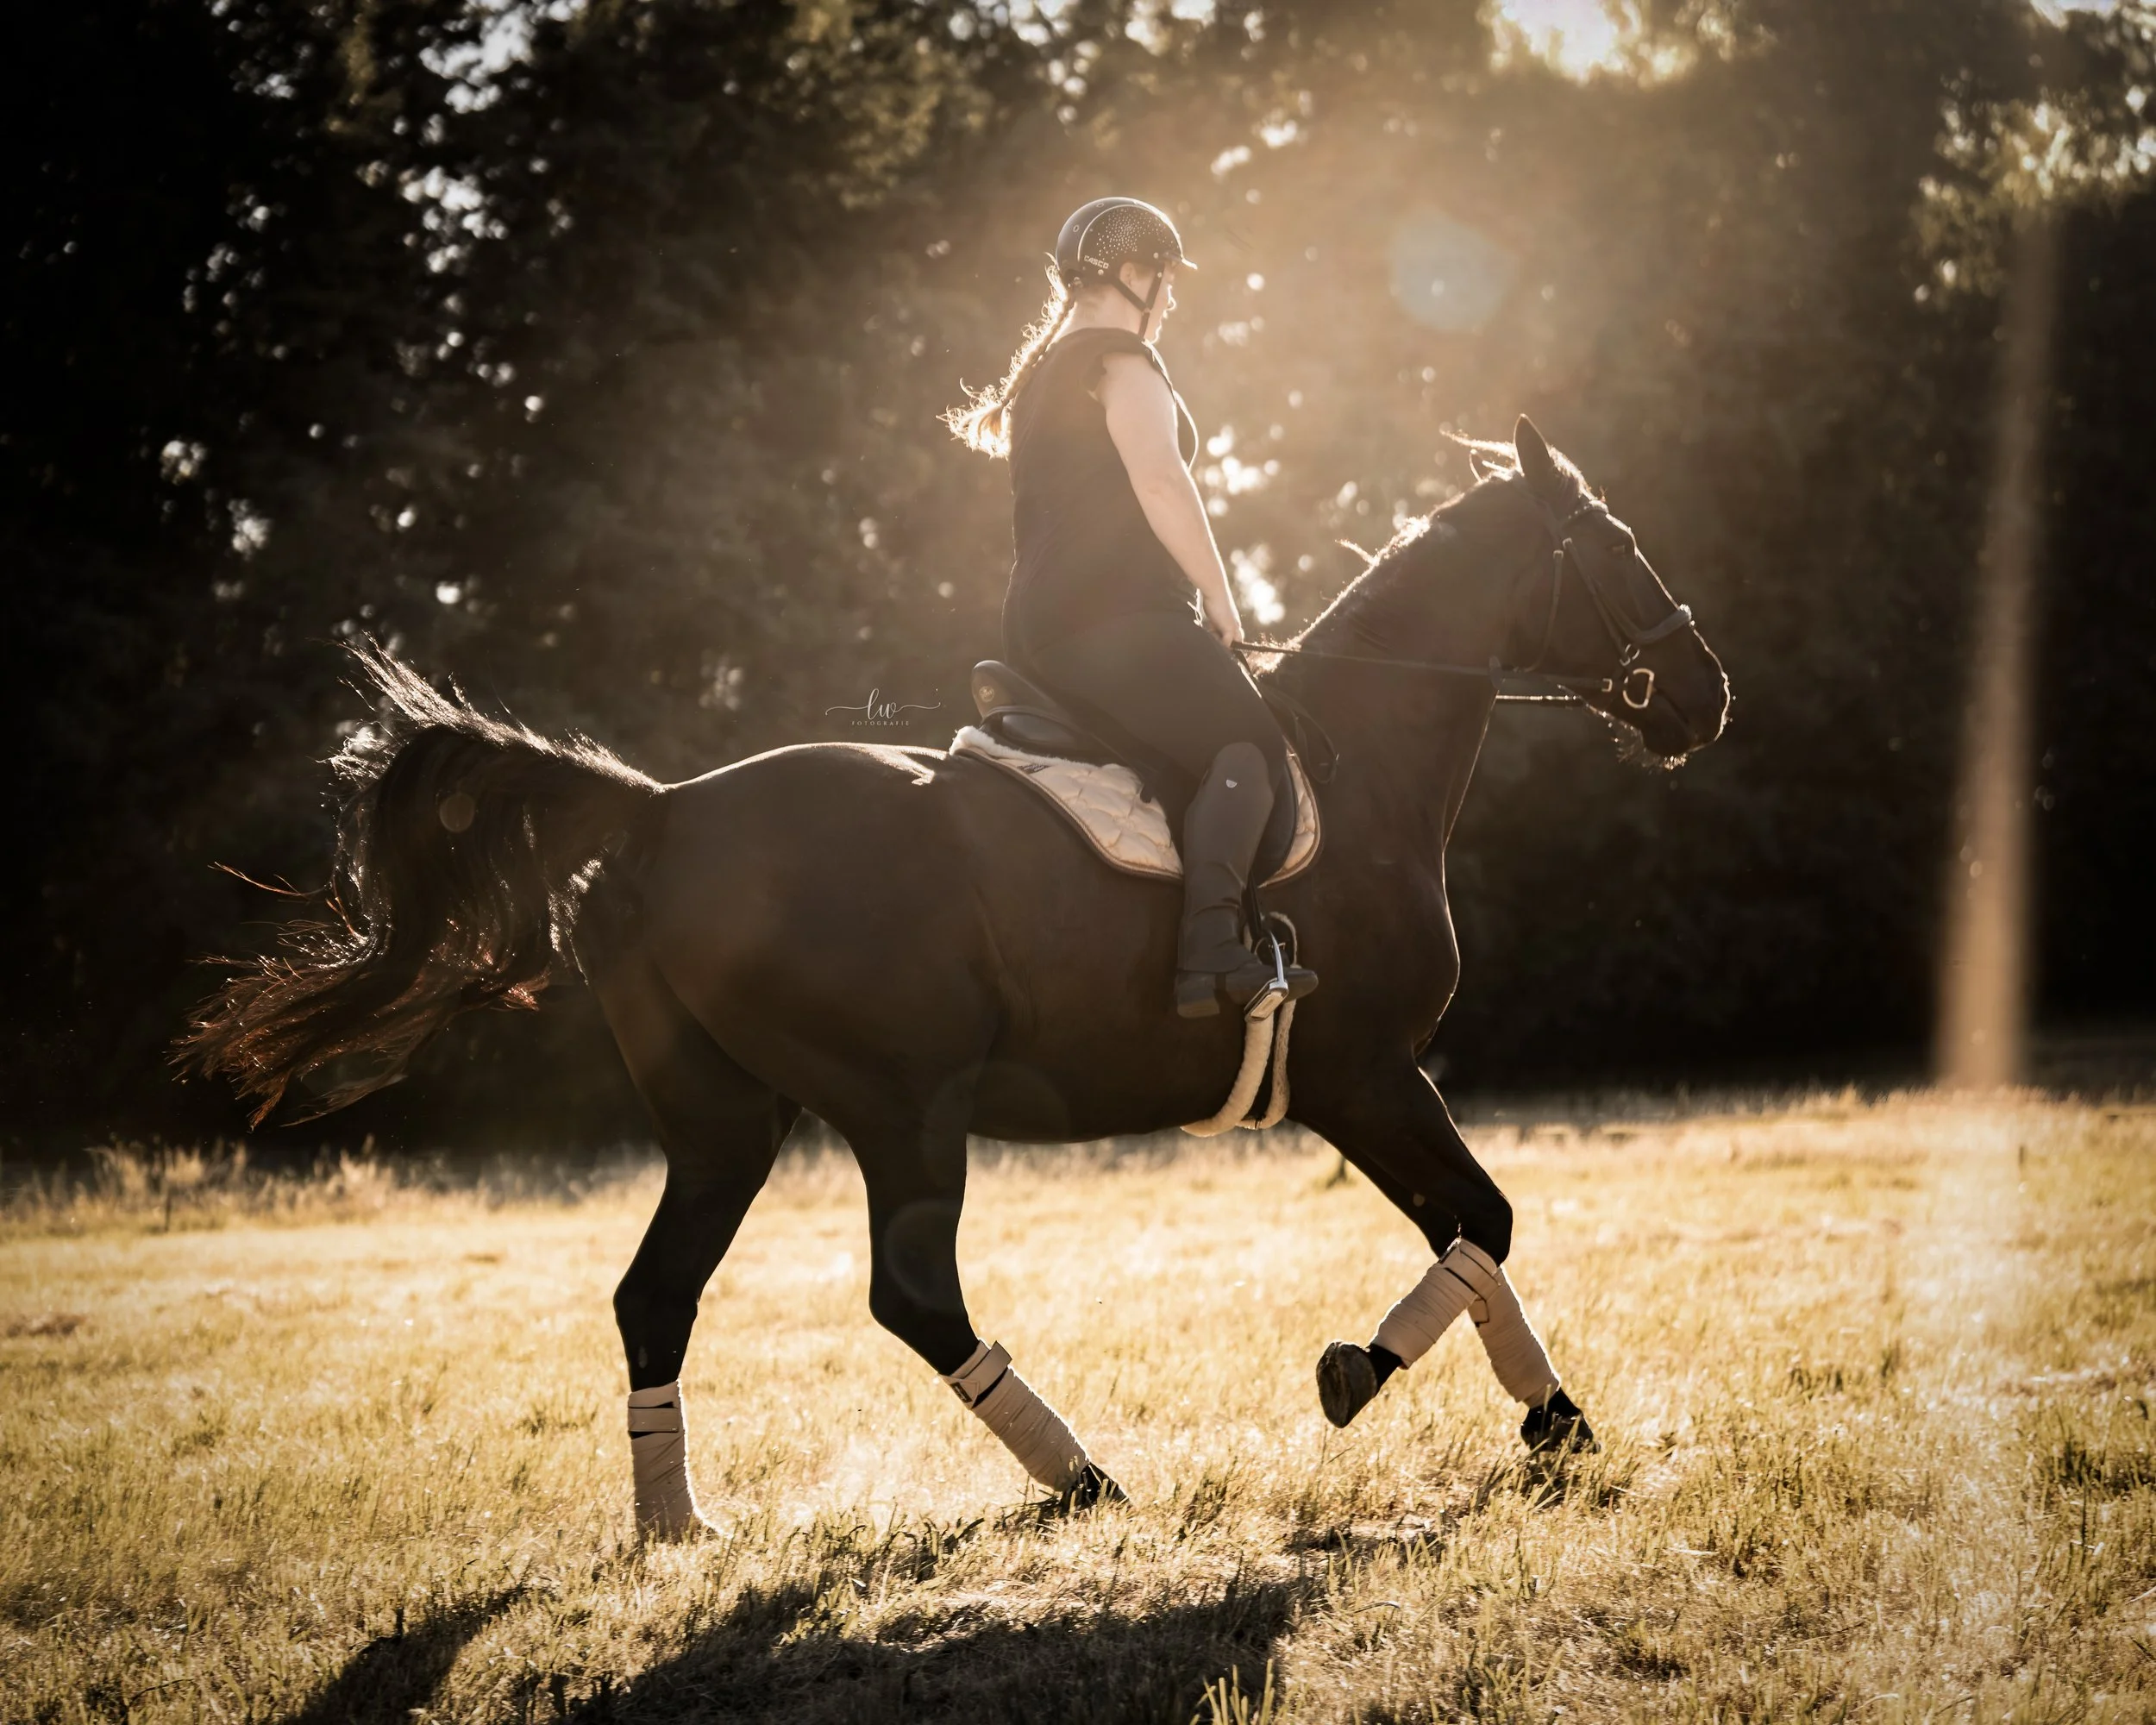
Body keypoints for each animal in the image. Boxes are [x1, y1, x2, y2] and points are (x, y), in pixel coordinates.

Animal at [184, 416, 1729, 1532]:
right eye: (1616, 544)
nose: (1707, 698)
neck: (1364, 766)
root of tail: (664, 810)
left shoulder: (1364, 1084)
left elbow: (1473, 1230)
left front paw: (1555, 1425)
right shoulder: (1362, 1073)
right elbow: (1486, 1223)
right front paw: (1369, 1377)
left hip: (725, 1124)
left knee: (653, 1296)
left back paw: (676, 1527)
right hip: (902, 1107)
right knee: (911, 1297)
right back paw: (1084, 1480)